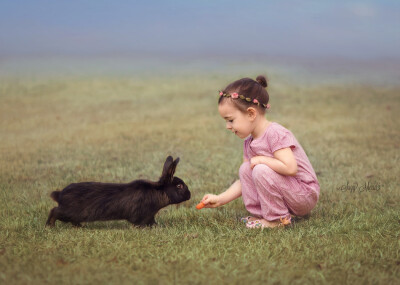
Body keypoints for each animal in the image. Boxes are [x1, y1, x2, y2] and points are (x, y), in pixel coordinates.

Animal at [46, 155, 190, 226]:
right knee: (54, 211)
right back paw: (50, 226)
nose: (189, 195)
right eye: (179, 186)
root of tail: (60, 194)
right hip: (69, 212)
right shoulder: (143, 216)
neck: (157, 191)